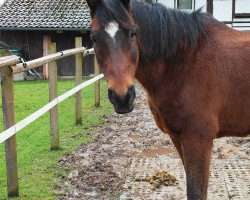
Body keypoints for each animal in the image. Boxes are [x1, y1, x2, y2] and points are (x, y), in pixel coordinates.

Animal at [86, 0, 250, 199]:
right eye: (93, 37)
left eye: (132, 33)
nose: (122, 97)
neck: (184, 63)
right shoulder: (177, 137)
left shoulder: (199, 140)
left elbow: (196, 192)